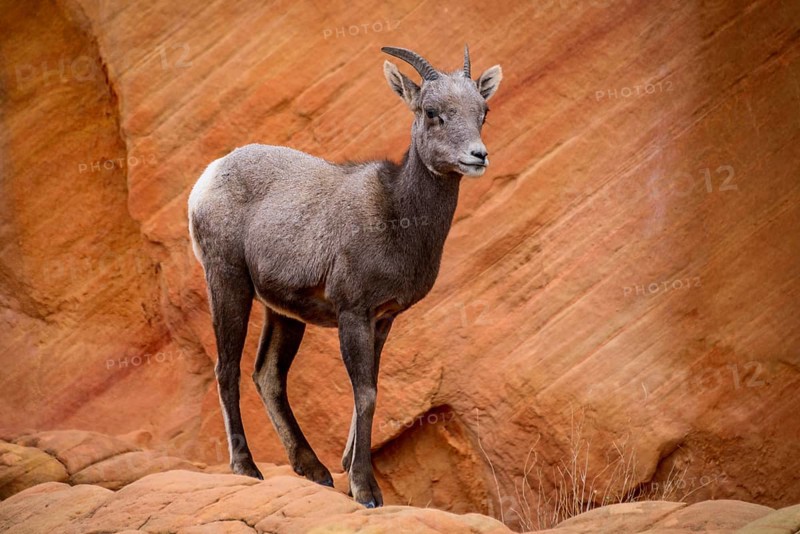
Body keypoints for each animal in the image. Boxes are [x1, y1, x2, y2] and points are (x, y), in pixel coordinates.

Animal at [188, 45, 502, 508]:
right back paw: (247, 468)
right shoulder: (353, 312)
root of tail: (208, 177)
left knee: (267, 376)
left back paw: (314, 470)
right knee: (227, 368)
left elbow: (368, 391)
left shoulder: (382, 319)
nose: (478, 156)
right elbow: (365, 394)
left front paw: (348, 467)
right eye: (432, 112)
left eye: (483, 110)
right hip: (228, 284)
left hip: (284, 314)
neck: (396, 216)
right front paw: (366, 491)